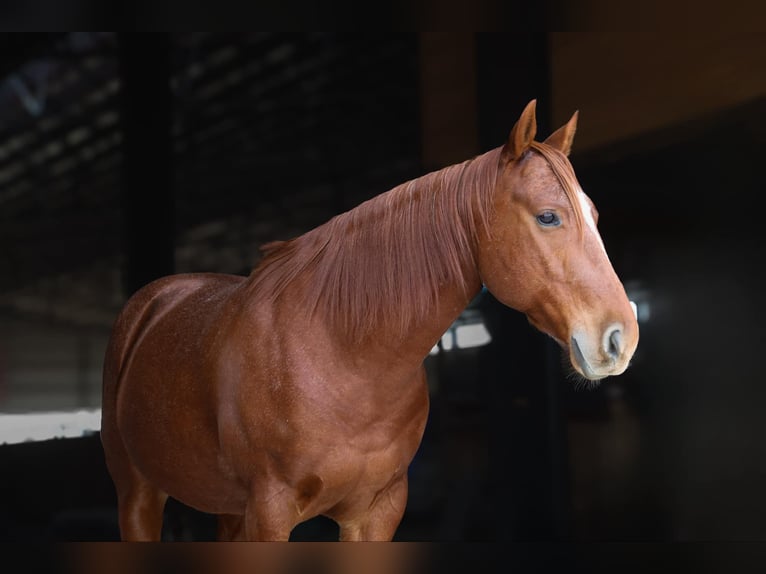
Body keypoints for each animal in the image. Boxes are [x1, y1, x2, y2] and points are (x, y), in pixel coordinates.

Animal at [100, 99, 639, 541]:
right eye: (548, 217)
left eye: (594, 216)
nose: (620, 339)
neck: (344, 357)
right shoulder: (269, 512)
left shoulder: (378, 511)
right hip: (138, 495)